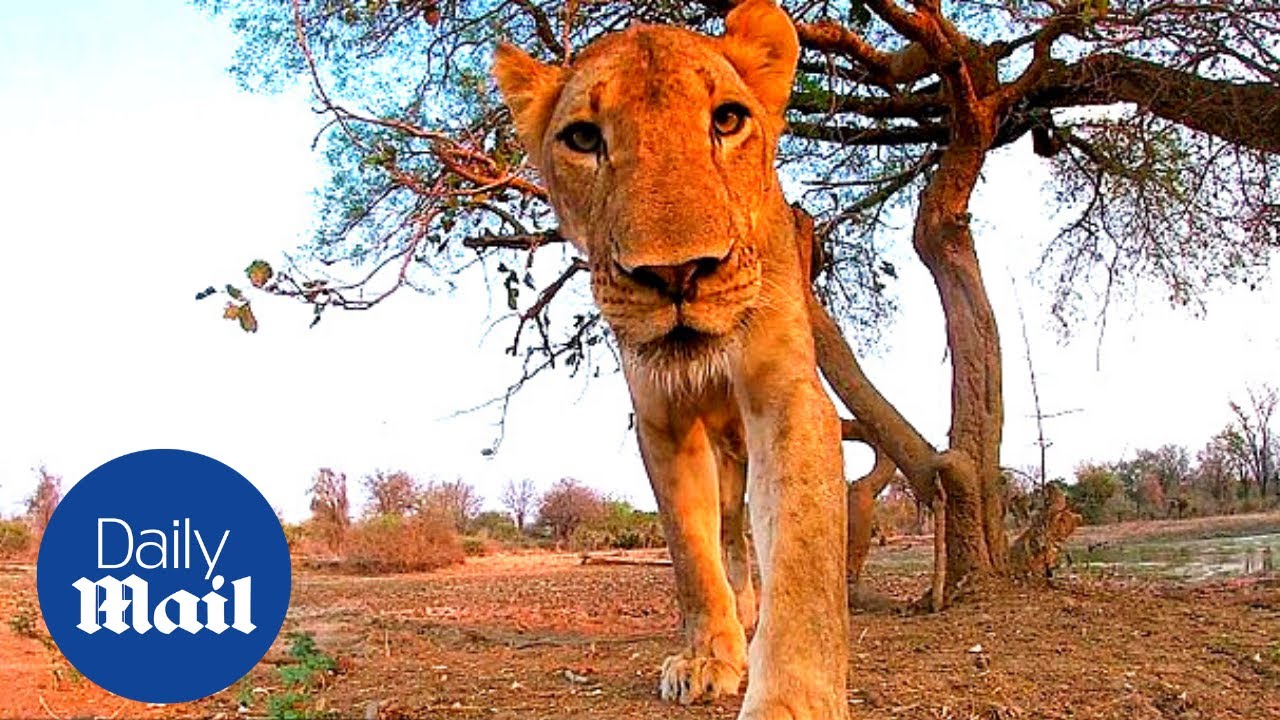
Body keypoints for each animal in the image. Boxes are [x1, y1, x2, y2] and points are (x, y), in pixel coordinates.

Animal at [492, 1, 849, 717]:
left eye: (727, 120)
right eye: (583, 137)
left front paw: (789, 698)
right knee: (728, 537)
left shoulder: (786, 393)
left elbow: (802, 547)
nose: (676, 272)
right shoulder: (661, 417)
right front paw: (708, 657)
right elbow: (689, 548)